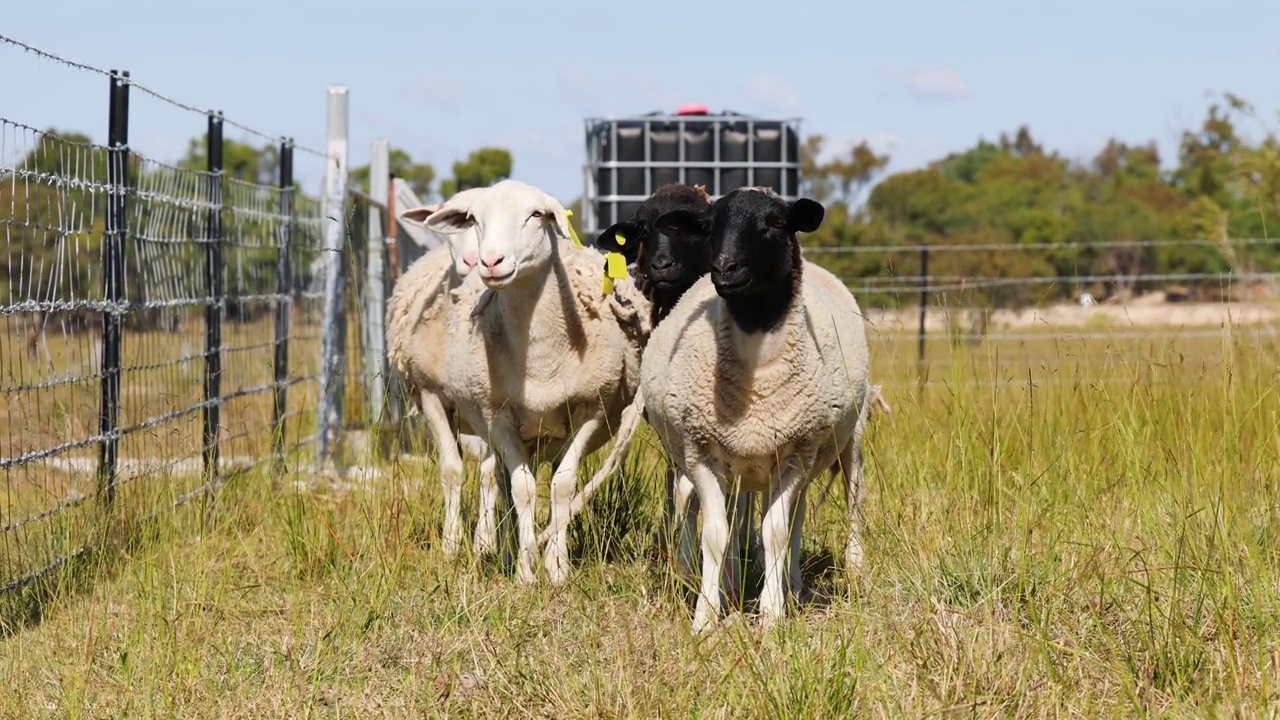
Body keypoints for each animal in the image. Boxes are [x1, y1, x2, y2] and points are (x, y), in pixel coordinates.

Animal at [424, 178, 650, 584]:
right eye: (474, 219)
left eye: (535, 215)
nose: (490, 262)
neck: (541, 359)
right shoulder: (497, 416)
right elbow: (523, 489)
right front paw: (526, 571)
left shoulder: (590, 411)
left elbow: (562, 486)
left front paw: (557, 568)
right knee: (498, 480)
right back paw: (501, 547)